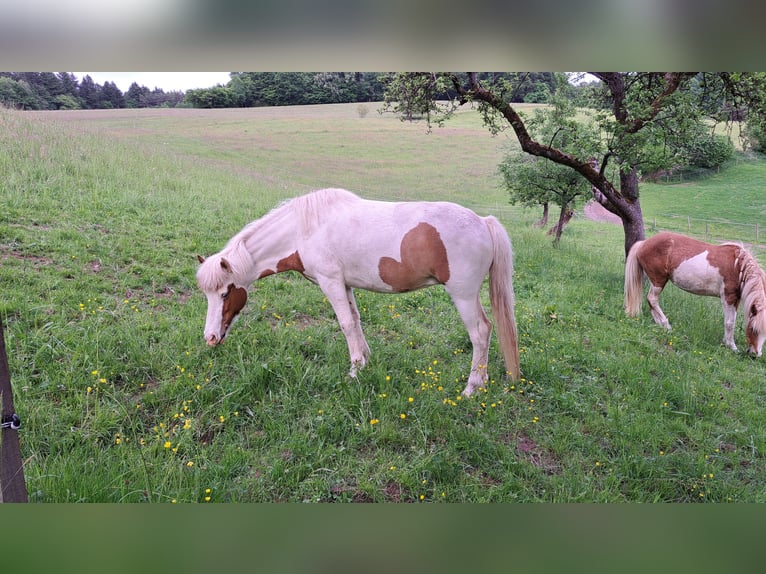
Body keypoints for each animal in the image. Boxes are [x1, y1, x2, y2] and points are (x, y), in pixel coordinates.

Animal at [196, 188, 520, 396]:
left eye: (224, 294)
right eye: (208, 295)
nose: (210, 338)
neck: (304, 229)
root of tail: (484, 223)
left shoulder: (330, 282)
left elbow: (345, 324)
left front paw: (353, 371)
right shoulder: (346, 285)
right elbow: (356, 320)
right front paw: (365, 360)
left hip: (463, 295)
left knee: (480, 332)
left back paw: (471, 388)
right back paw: (483, 381)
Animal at [624, 231, 766, 356]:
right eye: (752, 329)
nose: (755, 354)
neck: (738, 266)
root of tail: (643, 243)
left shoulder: (735, 299)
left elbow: (731, 320)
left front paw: (727, 342)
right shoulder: (728, 297)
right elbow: (730, 323)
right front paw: (732, 346)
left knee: (651, 301)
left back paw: (660, 324)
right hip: (658, 280)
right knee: (652, 299)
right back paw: (666, 325)